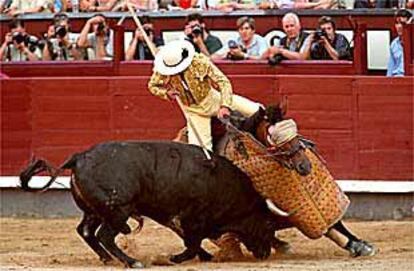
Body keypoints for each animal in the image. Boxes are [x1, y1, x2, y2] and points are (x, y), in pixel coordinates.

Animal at [19, 141, 284, 268]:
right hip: (119, 211)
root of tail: (79, 157)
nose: (264, 254)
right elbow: (191, 243)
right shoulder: (193, 218)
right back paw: (132, 262)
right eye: (268, 224)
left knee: (86, 231)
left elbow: (191, 241)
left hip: (96, 211)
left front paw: (205, 256)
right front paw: (174, 258)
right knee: (104, 235)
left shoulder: (174, 218)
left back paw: (107, 259)